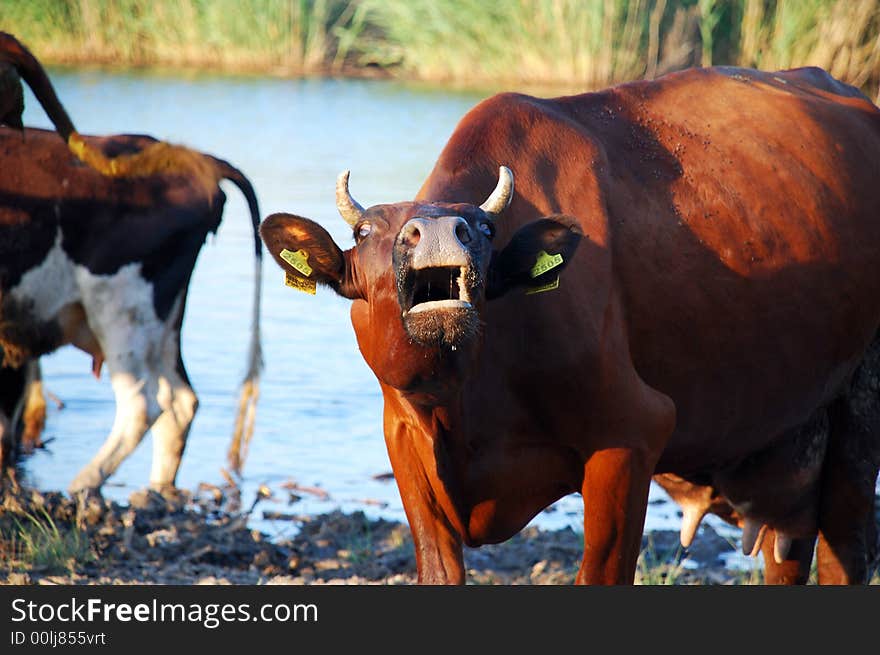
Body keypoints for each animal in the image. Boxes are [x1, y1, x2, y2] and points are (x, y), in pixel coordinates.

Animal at [262, 66, 880, 588]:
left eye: (484, 228)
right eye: (365, 232)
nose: (438, 230)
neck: (463, 405)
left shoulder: (633, 430)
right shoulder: (407, 450)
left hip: (858, 411)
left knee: (846, 548)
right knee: (790, 546)